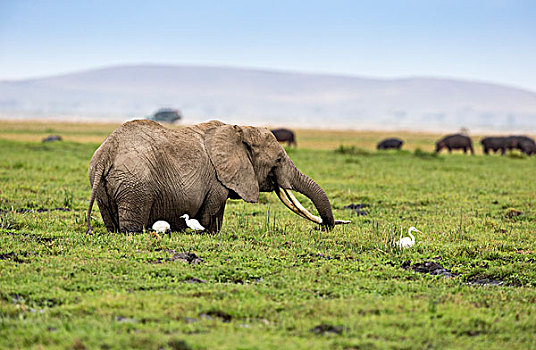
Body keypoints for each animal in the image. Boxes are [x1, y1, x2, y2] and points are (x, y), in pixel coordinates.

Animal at [86, 119, 350, 234]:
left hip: (106, 187)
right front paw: (210, 234)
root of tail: (106, 153)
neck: (239, 129)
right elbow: (214, 211)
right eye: (277, 161)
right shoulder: (216, 181)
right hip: (136, 185)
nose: (323, 229)